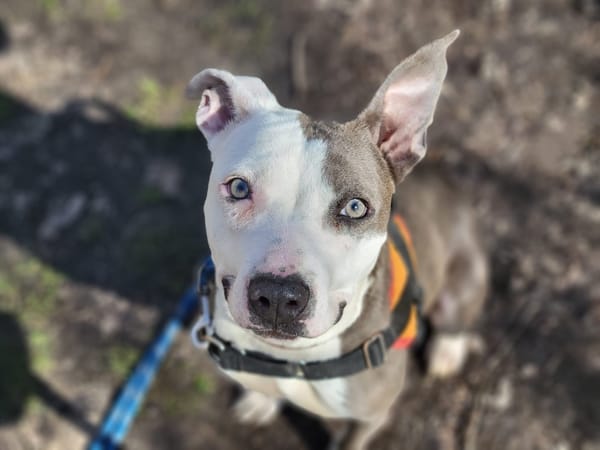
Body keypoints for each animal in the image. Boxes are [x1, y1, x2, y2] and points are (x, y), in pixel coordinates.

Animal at [187, 30, 488, 450]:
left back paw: (447, 351)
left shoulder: (370, 416)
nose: (278, 296)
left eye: (355, 208)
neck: (290, 360)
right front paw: (260, 402)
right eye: (239, 188)